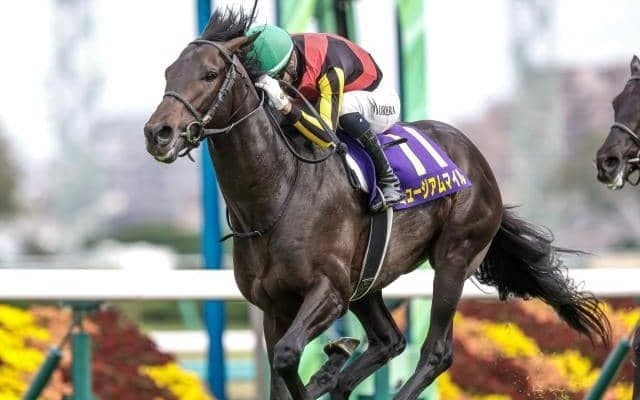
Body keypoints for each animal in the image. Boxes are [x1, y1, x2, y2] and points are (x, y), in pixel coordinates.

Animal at [144, 9, 611, 400]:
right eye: (168, 72)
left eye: (209, 73)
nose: (158, 133)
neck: (275, 195)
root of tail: (475, 158)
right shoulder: (274, 307)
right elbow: (281, 368)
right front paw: (328, 367)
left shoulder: (329, 291)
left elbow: (287, 356)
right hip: (367, 281)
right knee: (389, 340)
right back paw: (334, 372)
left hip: (454, 258)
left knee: (435, 351)